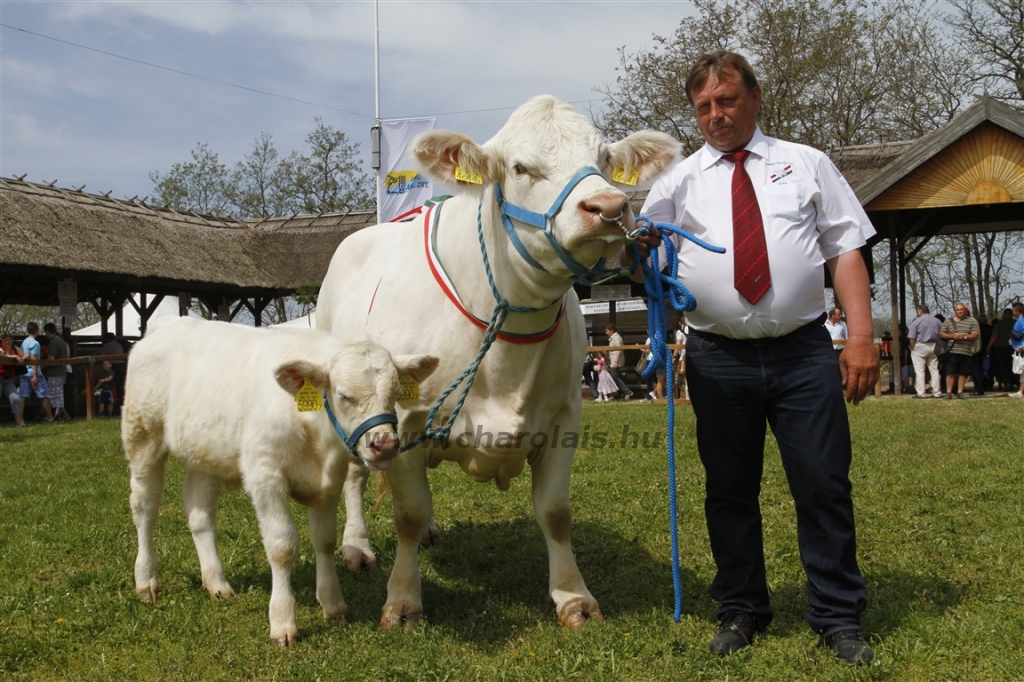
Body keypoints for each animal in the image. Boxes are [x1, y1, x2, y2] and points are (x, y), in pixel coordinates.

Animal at [121, 315, 438, 647]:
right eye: (344, 395)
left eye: (396, 392)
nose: (385, 445)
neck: (316, 435)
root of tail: (171, 321)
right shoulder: (265, 475)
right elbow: (282, 546)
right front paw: (283, 621)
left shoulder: (330, 482)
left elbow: (325, 540)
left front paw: (333, 604)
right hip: (142, 436)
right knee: (145, 508)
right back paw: (146, 580)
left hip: (205, 452)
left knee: (200, 515)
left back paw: (216, 581)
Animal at [313, 95, 679, 626]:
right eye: (521, 167)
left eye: (605, 159)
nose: (609, 208)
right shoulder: (402, 418)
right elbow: (406, 514)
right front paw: (402, 599)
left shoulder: (565, 415)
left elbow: (555, 512)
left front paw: (574, 597)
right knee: (358, 474)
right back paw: (356, 547)